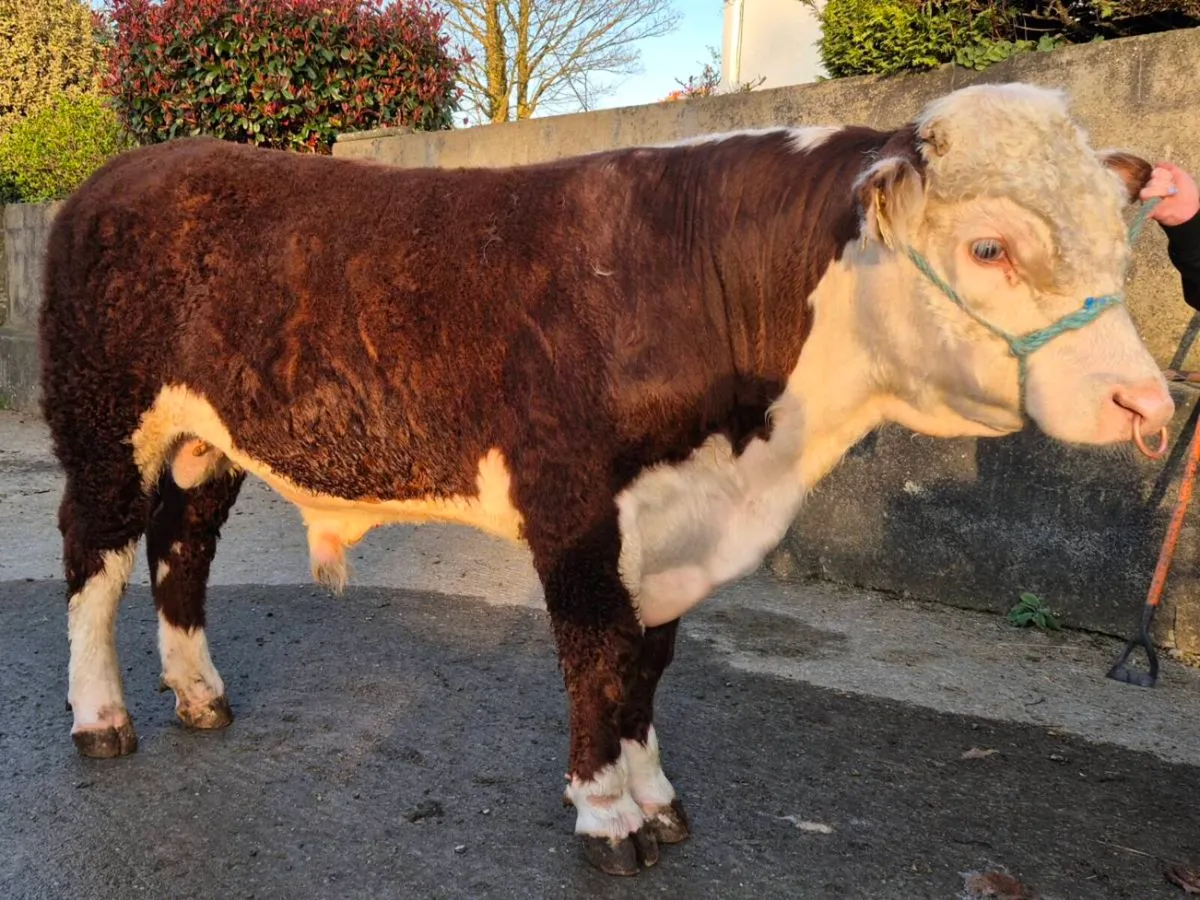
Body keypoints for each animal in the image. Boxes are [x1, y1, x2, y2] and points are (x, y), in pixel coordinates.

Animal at [39, 82, 1174, 875]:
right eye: (988, 247)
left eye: (1119, 245)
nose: (1146, 405)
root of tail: (117, 174)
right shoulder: (575, 506)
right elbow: (596, 657)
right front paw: (608, 815)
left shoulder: (669, 526)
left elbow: (648, 661)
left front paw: (658, 797)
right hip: (101, 420)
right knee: (95, 559)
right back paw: (101, 719)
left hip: (205, 441)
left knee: (181, 548)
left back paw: (198, 694)